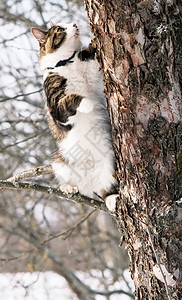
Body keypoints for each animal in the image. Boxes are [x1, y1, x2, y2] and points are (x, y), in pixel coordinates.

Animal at [31, 21, 118, 211]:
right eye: (60, 29)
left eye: (66, 23)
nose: (74, 23)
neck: (68, 63)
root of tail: (89, 185)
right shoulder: (56, 106)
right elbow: (71, 98)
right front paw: (89, 104)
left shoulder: (91, 66)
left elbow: (91, 53)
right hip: (59, 160)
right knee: (69, 187)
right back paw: (68, 187)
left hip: (110, 167)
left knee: (106, 190)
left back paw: (112, 199)